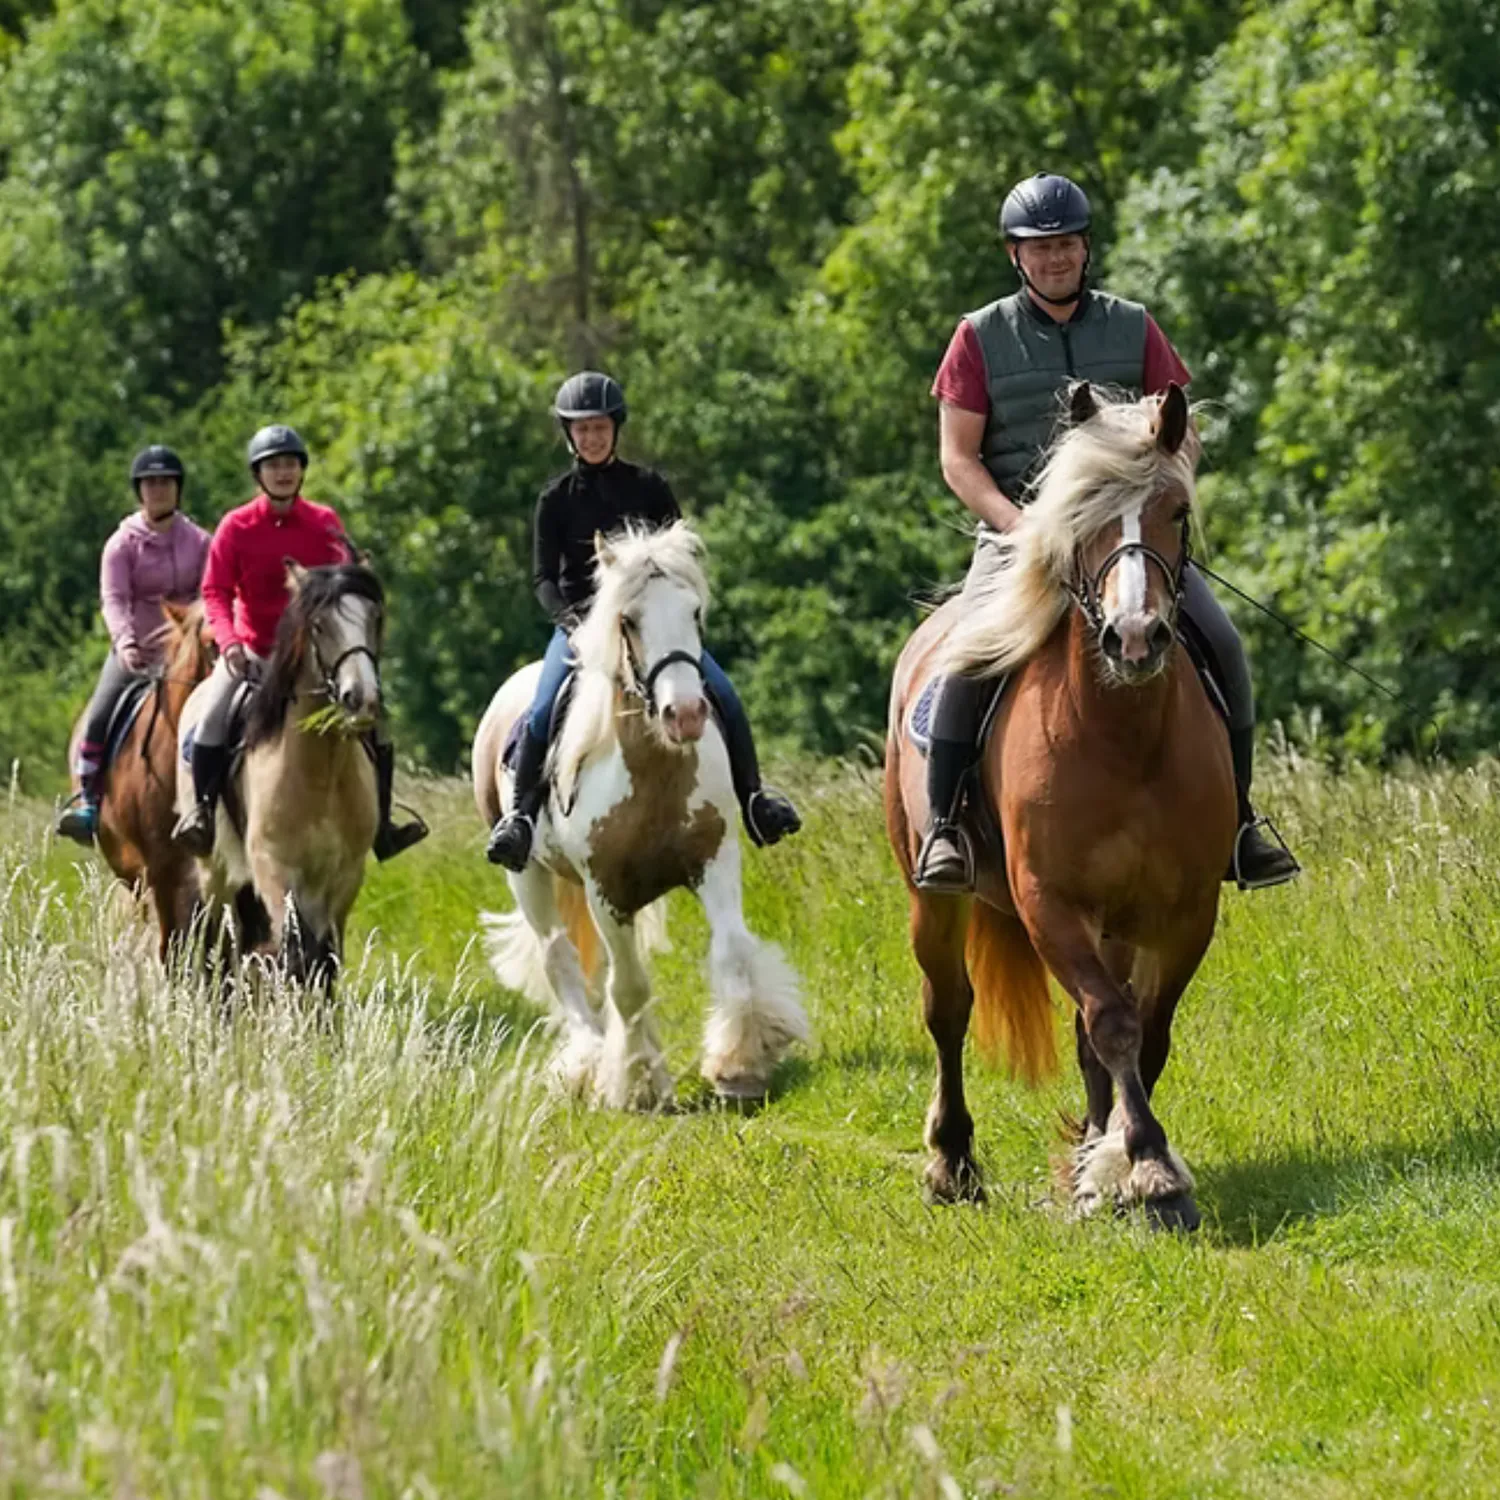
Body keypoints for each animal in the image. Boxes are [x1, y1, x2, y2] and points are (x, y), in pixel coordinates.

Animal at [176, 562, 384, 989]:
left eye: (374, 618)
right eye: (319, 625)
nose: (363, 698)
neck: (320, 772)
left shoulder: (343, 876)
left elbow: (324, 960)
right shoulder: (274, 870)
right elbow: (294, 953)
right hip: (215, 871)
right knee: (218, 943)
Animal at [472, 521, 808, 1111]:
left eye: (694, 612)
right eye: (627, 621)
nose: (687, 714)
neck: (653, 773)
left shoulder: (714, 860)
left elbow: (733, 954)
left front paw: (741, 1065)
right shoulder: (605, 889)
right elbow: (629, 986)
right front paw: (638, 1084)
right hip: (527, 876)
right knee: (559, 959)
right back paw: (585, 1065)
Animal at [885, 382, 1236, 1230]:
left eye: (1176, 509)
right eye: (1082, 515)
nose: (1134, 638)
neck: (1121, 738)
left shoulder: (1184, 911)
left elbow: (1145, 1030)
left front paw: (1107, 1166)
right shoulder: (1050, 904)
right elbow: (1112, 1021)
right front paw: (1149, 1168)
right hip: (929, 895)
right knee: (948, 1010)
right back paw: (951, 1165)